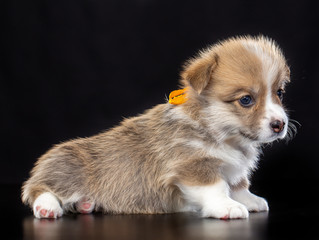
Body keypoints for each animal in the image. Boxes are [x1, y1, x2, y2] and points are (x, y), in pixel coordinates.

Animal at [21, 35, 296, 219]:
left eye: (280, 92)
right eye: (246, 100)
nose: (279, 125)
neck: (224, 134)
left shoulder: (234, 169)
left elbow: (239, 184)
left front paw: (250, 200)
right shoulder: (192, 165)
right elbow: (215, 187)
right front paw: (227, 207)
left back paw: (86, 204)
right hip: (65, 170)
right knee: (38, 189)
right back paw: (48, 207)